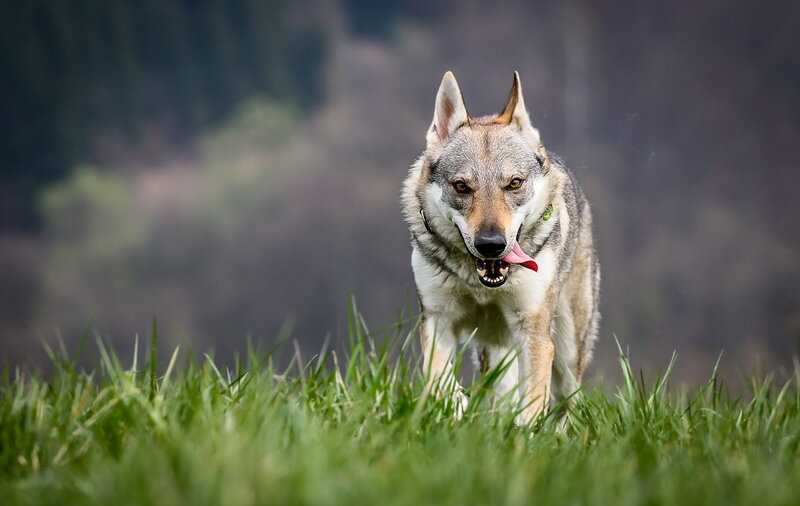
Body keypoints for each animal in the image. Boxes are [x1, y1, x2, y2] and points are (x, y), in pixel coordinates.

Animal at [402, 71, 600, 424]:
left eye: (514, 183)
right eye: (461, 186)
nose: (491, 245)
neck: (482, 286)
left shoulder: (534, 332)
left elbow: (533, 405)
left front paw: (526, 434)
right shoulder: (437, 321)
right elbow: (440, 381)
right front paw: (457, 409)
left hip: (566, 351)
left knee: (567, 404)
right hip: (497, 351)